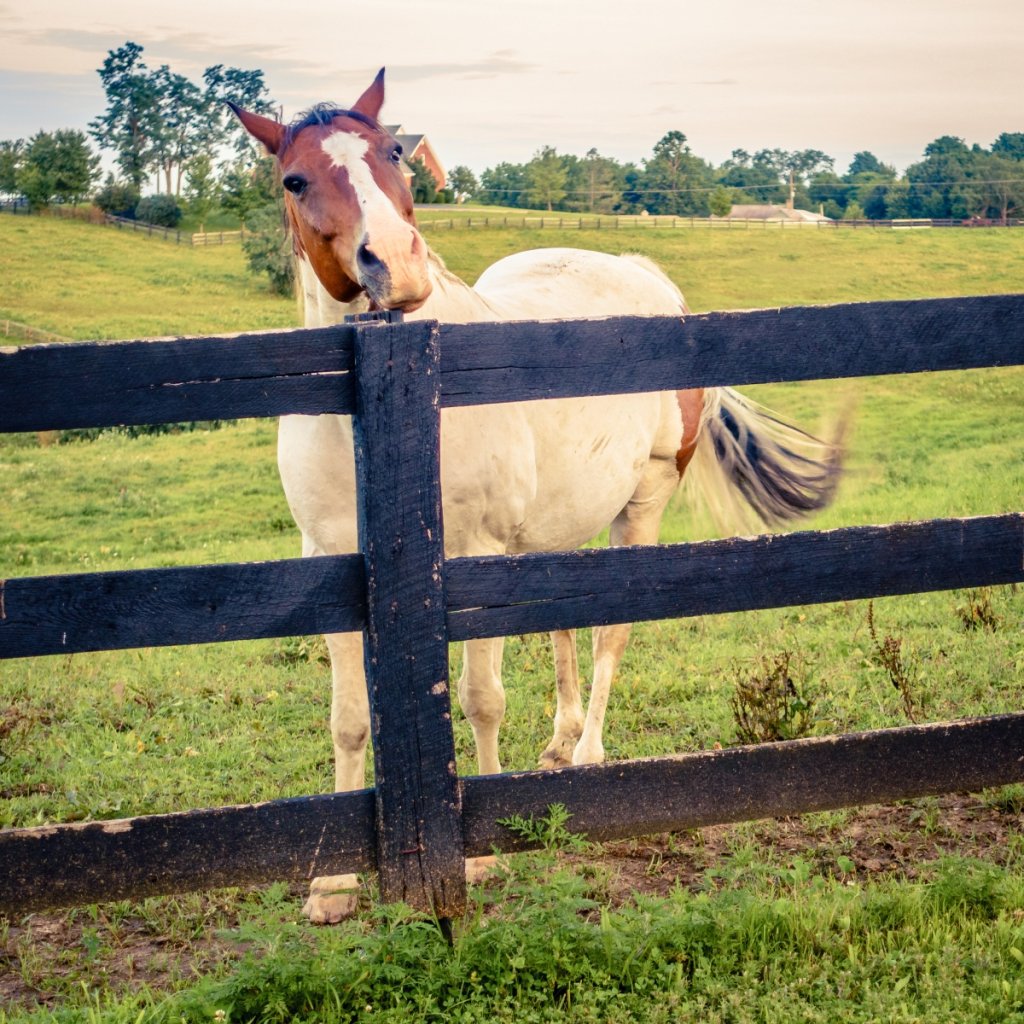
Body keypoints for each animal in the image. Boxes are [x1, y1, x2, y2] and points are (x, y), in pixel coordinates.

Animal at [231, 69, 842, 922]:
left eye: (395, 153)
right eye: (294, 179)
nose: (397, 266)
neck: (381, 399)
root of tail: (647, 276)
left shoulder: (473, 554)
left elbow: (481, 697)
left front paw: (479, 856)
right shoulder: (330, 563)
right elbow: (349, 720)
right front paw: (331, 886)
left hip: (641, 506)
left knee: (612, 630)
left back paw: (587, 755)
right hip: (558, 529)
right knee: (562, 622)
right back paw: (558, 742)